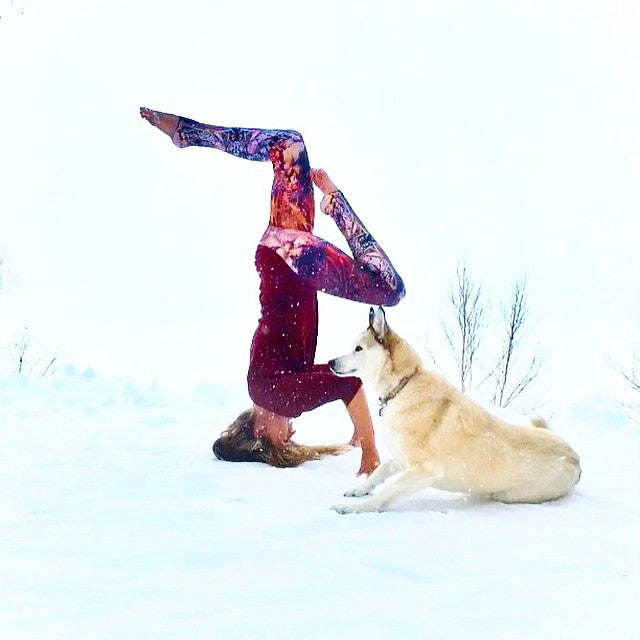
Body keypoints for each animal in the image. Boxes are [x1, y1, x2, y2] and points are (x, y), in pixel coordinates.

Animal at [328, 308, 584, 512]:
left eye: (358, 348)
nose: (330, 362)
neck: (403, 386)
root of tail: (576, 459)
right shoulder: (401, 459)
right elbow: (380, 471)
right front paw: (359, 490)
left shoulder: (425, 469)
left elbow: (387, 491)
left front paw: (356, 507)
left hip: (510, 494)